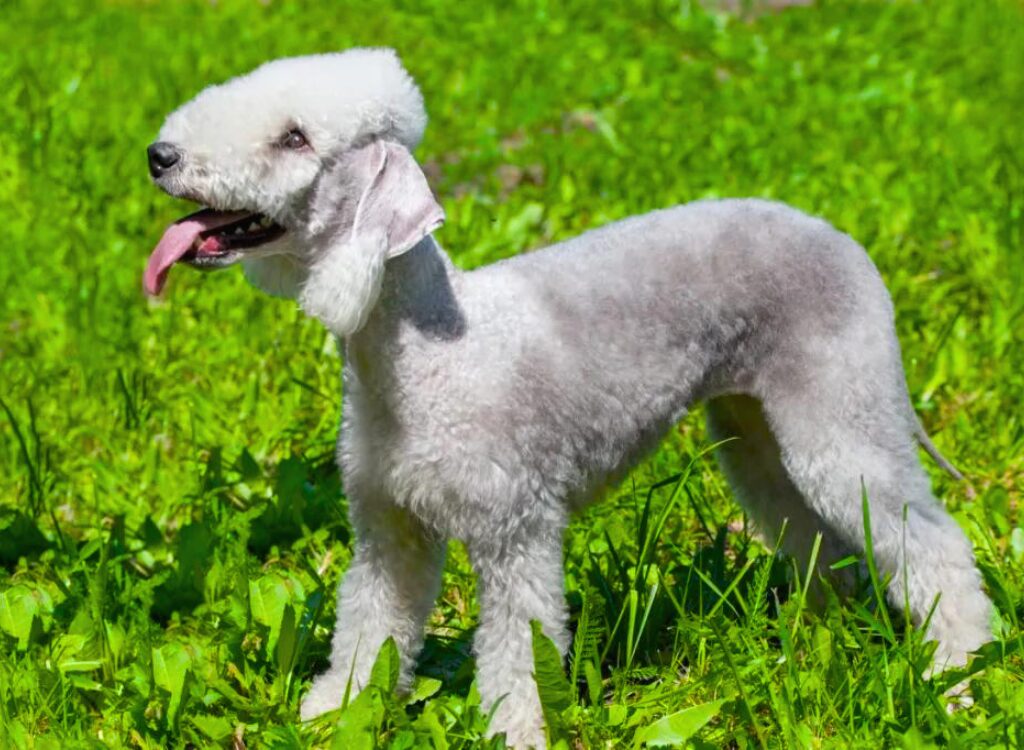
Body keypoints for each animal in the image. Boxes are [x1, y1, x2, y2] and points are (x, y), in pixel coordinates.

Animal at [144, 49, 991, 745]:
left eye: (295, 139)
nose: (160, 155)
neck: (431, 354)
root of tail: (845, 241)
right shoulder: (390, 531)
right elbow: (371, 624)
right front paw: (337, 709)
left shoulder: (516, 527)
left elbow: (519, 649)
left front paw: (512, 732)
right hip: (759, 437)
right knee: (823, 542)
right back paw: (824, 642)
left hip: (842, 419)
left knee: (937, 548)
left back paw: (960, 680)